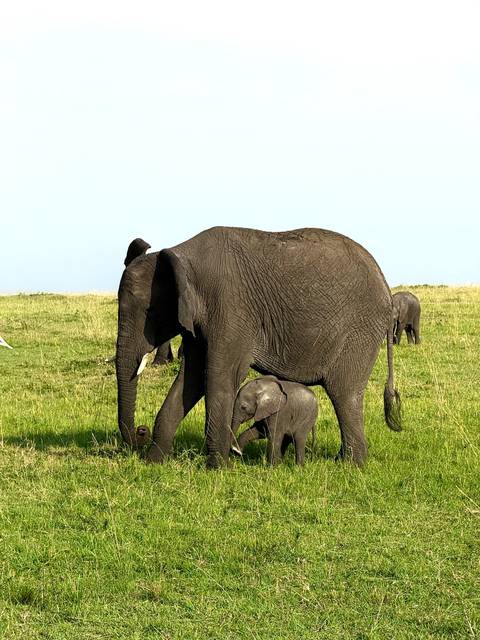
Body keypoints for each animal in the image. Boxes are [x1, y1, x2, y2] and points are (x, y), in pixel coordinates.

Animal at [115, 226, 402, 468]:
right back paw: (342, 461)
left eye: (151, 312)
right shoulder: (198, 323)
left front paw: (217, 469)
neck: (181, 254)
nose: (140, 432)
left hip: (359, 332)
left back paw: (350, 466)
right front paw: (153, 463)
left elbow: (219, 378)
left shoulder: (229, 309)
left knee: (344, 394)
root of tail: (386, 287)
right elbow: (191, 379)